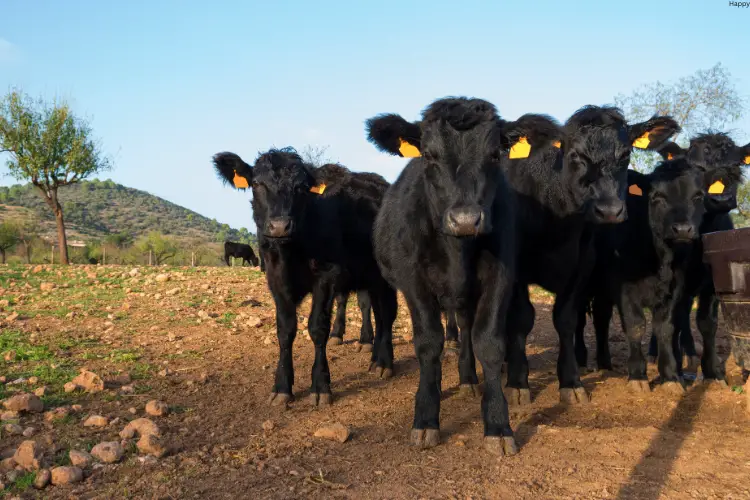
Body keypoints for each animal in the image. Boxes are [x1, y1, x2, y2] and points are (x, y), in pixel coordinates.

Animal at [213, 147, 400, 406]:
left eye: (301, 187)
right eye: (257, 183)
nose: (279, 226)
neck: (291, 252)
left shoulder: (327, 277)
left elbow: (317, 328)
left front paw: (320, 386)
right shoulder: (276, 281)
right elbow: (285, 330)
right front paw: (282, 387)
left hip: (385, 273)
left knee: (388, 313)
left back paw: (384, 363)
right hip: (369, 276)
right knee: (379, 313)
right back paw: (374, 360)